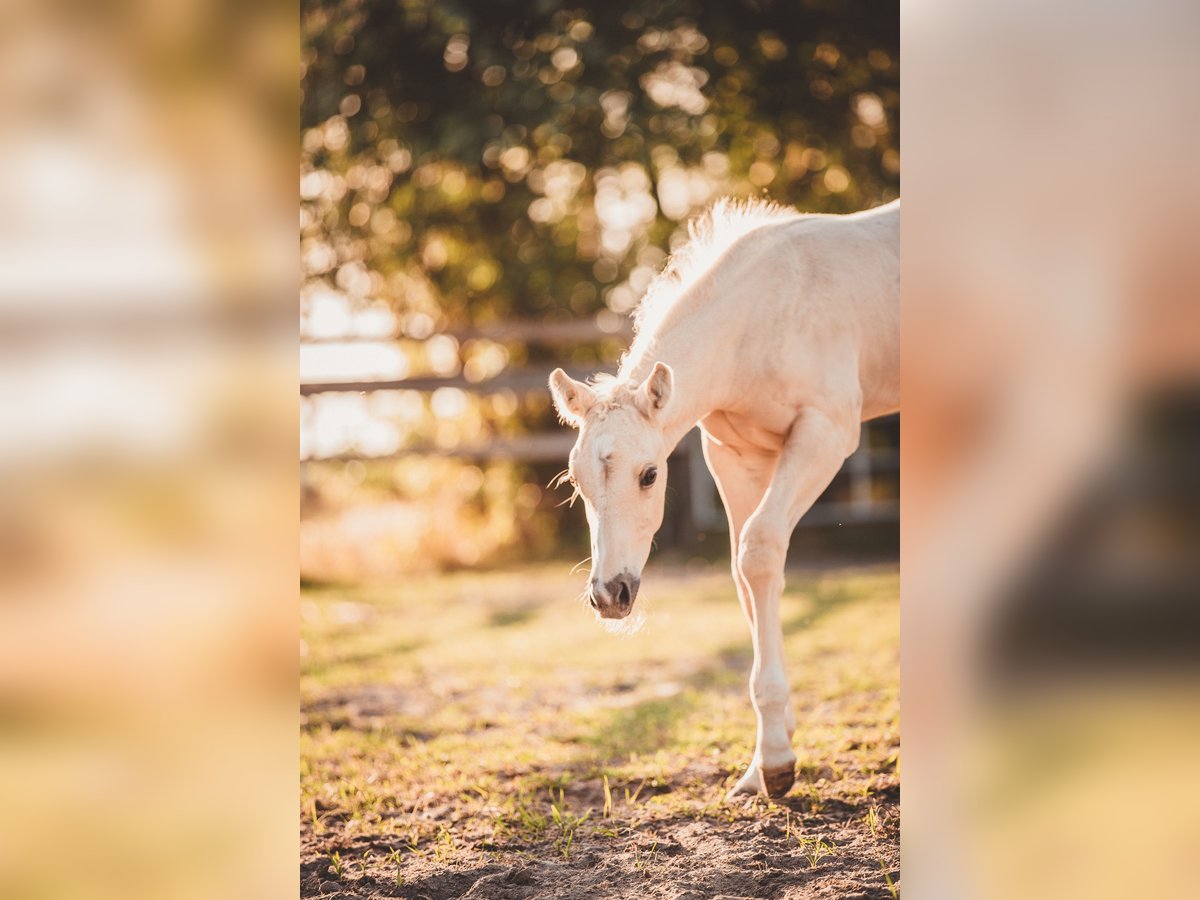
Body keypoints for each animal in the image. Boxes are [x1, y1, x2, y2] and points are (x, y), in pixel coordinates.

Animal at [548, 197, 899, 798]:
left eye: (649, 475)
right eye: (575, 482)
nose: (610, 596)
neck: (764, 316)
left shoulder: (826, 433)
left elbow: (759, 551)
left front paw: (778, 759)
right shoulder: (736, 456)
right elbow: (745, 574)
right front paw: (761, 767)